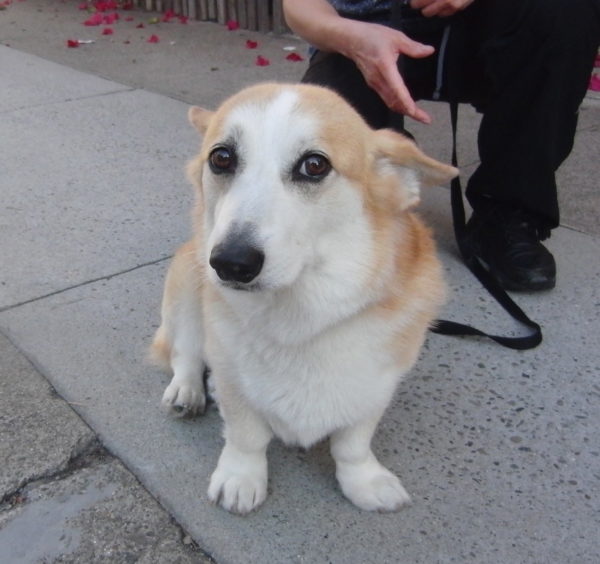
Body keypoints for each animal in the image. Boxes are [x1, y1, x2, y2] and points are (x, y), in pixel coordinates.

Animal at [152, 85, 458, 516]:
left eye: (314, 165)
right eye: (221, 158)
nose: (230, 263)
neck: (299, 312)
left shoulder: (375, 386)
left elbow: (353, 443)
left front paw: (365, 481)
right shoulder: (232, 378)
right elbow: (246, 436)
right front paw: (241, 480)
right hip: (186, 285)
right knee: (185, 353)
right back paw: (187, 390)